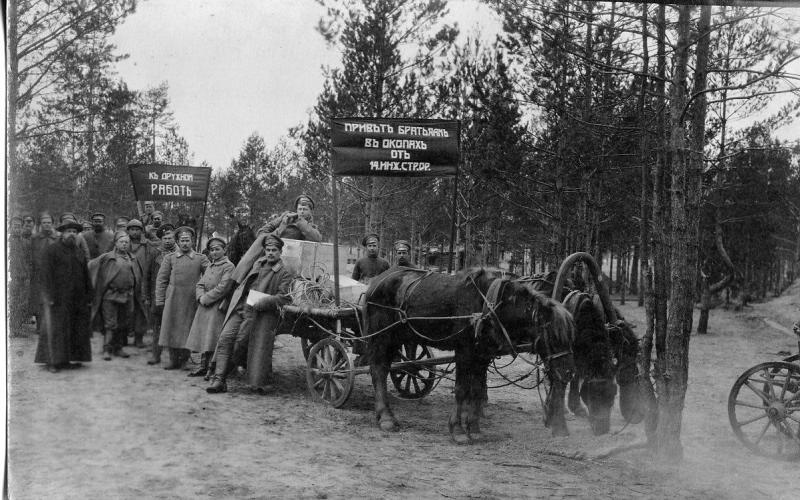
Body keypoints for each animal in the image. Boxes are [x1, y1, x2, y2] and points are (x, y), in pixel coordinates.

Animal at [362, 268, 576, 444]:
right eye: (553, 336)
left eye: (570, 336)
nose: (567, 372)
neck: (490, 305)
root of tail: (375, 281)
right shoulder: (464, 351)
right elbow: (462, 389)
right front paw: (458, 431)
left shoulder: (483, 354)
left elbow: (477, 390)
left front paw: (474, 429)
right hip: (382, 337)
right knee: (378, 371)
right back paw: (386, 418)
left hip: (397, 338)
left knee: (385, 369)